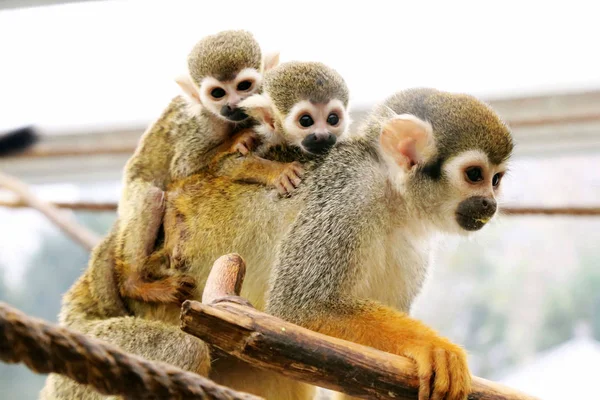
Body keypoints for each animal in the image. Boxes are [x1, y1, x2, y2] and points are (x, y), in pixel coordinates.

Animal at [113, 29, 280, 304]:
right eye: (218, 93)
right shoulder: (201, 126)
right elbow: (184, 168)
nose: (233, 104)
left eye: (244, 86)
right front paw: (238, 139)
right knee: (150, 195)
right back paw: (135, 284)